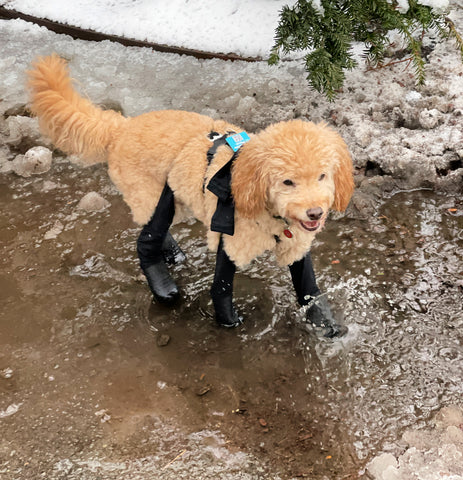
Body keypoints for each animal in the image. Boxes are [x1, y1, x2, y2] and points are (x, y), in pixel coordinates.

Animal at [28, 53, 356, 338]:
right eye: (287, 181)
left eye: (322, 175)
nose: (315, 213)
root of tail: (122, 127)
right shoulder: (231, 235)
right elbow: (221, 287)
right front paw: (228, 322)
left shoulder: (297, 243)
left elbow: (308, 287)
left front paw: (325, 324)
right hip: (153, 192)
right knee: (146, 239)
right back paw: (163, 286)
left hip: (172, 195)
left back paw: (173, 254)